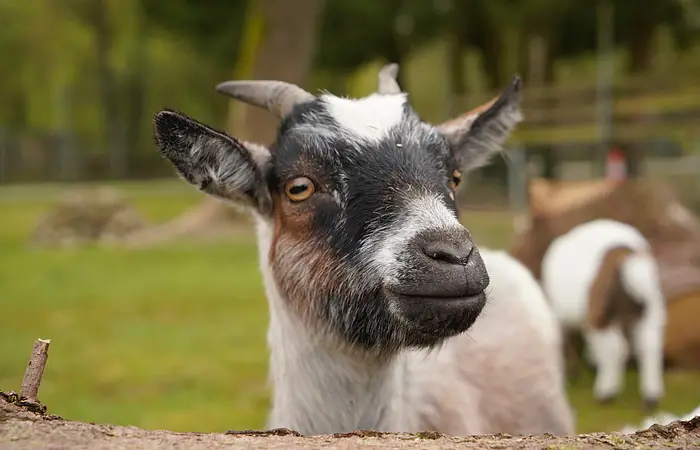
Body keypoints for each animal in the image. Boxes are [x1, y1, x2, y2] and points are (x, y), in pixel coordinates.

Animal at [541, 218, 667, 410]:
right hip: (650, 308)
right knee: (649, 344)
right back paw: (650, 397)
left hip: (601, 313)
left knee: (616, 347)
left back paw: (606, 392)